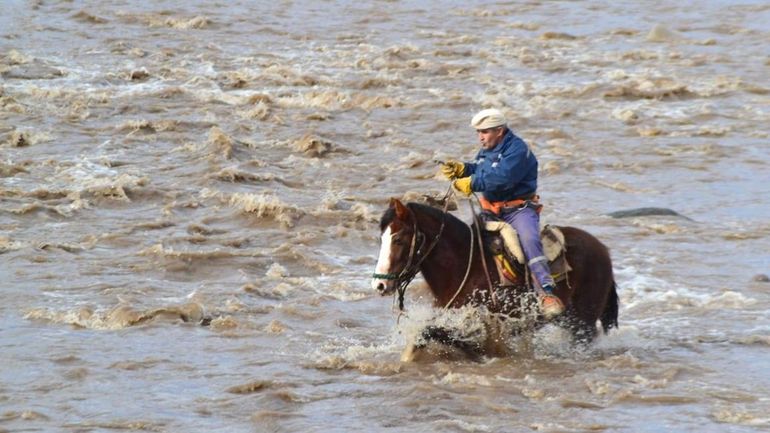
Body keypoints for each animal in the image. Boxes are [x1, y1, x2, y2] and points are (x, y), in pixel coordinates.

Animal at [371, 198, 618, 356]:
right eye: (381, 238)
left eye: (399, 239)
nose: (380, 284)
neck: (465, 265)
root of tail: (602, 250)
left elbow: (430, 332)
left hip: (584, 323)